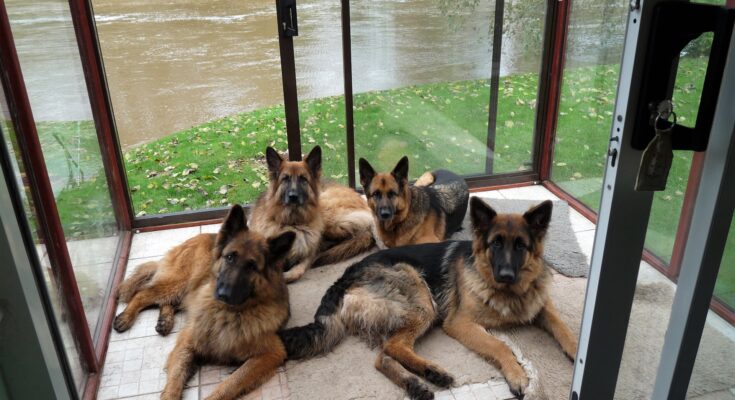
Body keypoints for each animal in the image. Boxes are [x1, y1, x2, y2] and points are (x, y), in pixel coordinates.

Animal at [157, 205, 298, 398]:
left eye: (252, 266)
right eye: (230, 257)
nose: (223, 294)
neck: (227, 313)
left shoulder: (271, 353)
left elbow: (230, 384)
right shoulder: (187, 341)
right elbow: (175, 379)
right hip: (180, 284)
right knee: (144, 294)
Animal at [252, 145, 376, 282]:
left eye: (303, 179)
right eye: (285, 179)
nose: (293, 197)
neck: (293, 222)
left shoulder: (309, 252)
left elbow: (297, 272)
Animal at [278, 198, 576, 398]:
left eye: (520, 246)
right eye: (496, 244)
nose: (505, 275)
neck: (507, 291)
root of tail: (345, 276)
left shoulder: (541, 306)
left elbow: (561, 325)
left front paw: (575, 349)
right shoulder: (460, 323)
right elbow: (499, 345)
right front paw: (517, 374)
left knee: (383, 356)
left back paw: (417, 383)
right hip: (422, 302)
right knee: (394, 347)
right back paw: (432, 372)